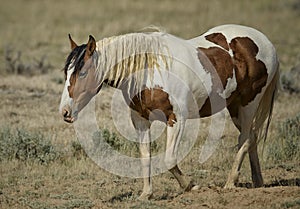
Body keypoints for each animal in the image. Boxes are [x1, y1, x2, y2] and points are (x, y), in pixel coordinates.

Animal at [59, 24, 282, 199]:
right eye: (66, 72)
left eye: (83, 72)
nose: (65, 112)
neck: (149, 71)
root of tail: (266, 42)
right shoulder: (140, 120)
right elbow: (145, 156)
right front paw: (146, 194)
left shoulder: (176, 119)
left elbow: (168, 159)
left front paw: (191, 185)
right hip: (235, 107)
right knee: (252, 136)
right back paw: (258, 181)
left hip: (248, 104)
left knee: (245, 138)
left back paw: (230, 183)